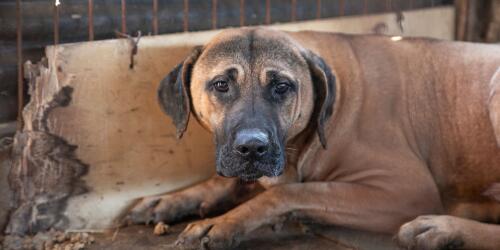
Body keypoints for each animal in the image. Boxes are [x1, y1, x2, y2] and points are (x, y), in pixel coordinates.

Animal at [129, 28, 500, 249]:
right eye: (221, 85)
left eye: (282, 87)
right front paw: (172, 199)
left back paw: (443, 229)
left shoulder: (404, 190)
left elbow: (289, 192)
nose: (252, 147)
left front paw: (222, 223)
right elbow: (225, 181)